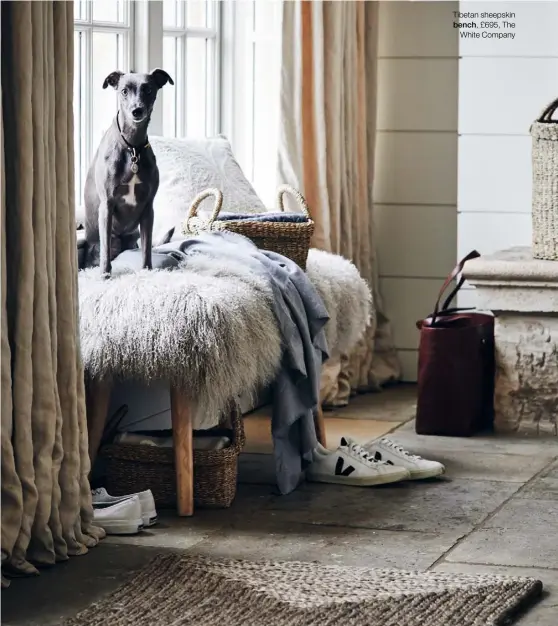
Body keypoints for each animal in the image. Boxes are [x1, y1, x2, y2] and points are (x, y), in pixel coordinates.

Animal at [83, 67, 174, 274]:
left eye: (148, 89)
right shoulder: (107, 205)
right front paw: (105, 274)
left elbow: (147, 248)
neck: (132, 147)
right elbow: (106, 249)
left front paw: (147, 270)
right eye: (124, 91)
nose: (136, 110)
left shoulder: (148, 208)